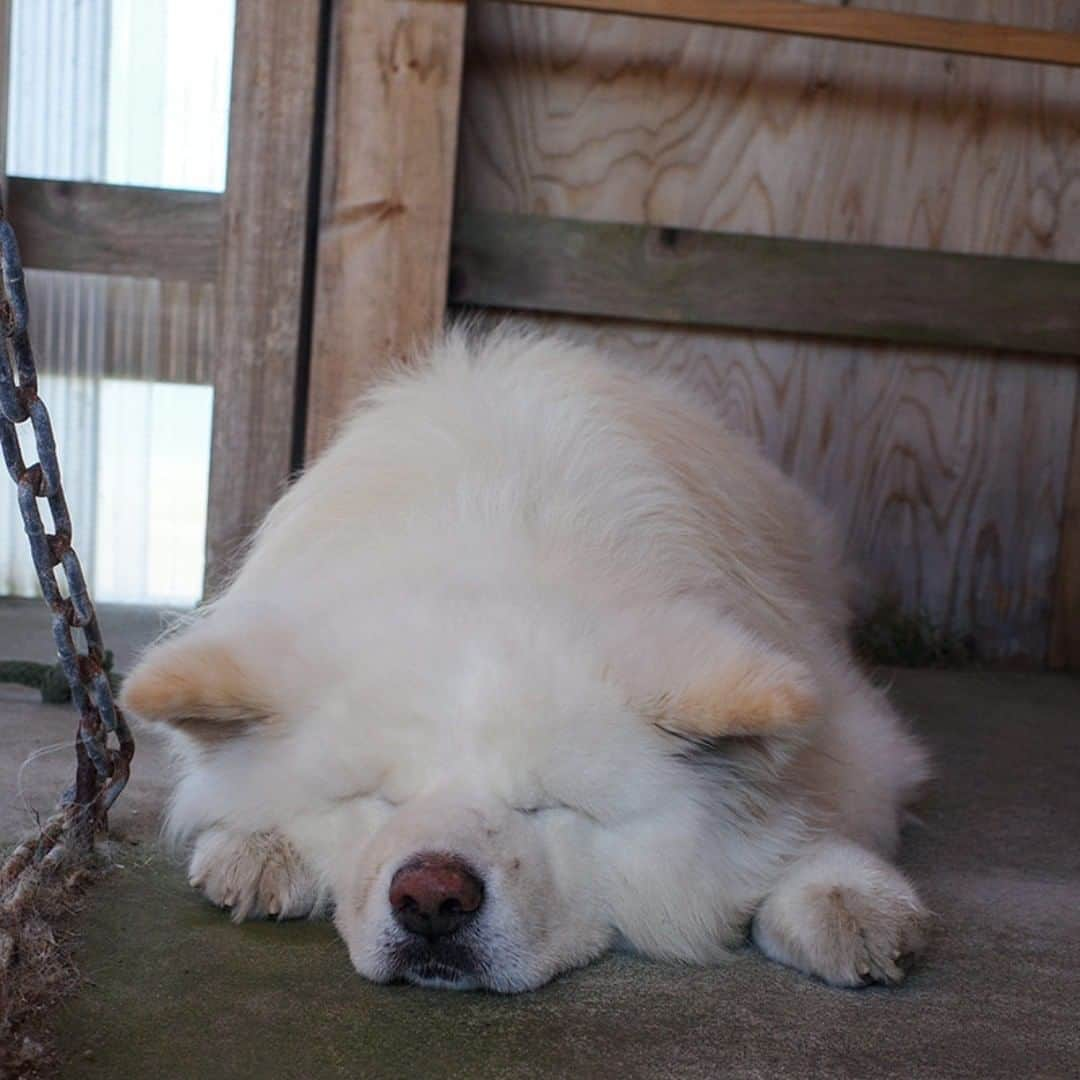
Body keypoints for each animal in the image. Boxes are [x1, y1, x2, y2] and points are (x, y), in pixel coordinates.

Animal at [122, 324, 933, 989]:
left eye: (547, 806)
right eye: (378, 798)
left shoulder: (843, 717)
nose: (431, 896)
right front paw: (259, 845)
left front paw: (842, 895)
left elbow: (827, 805)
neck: (489, 532)